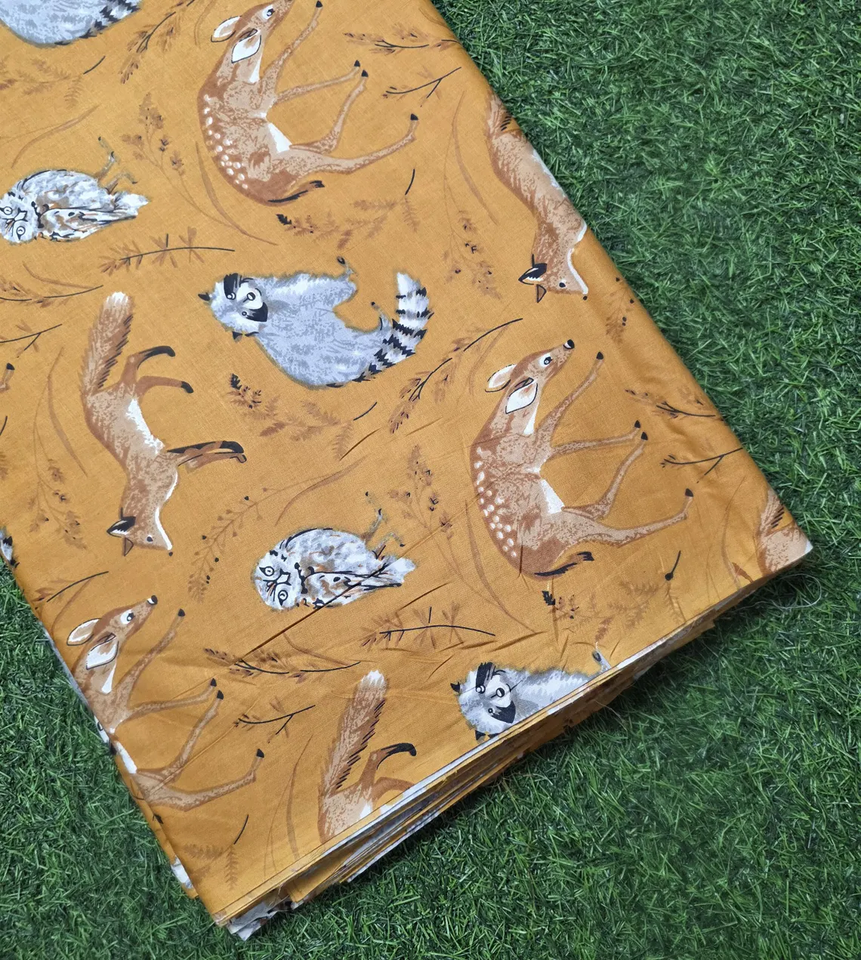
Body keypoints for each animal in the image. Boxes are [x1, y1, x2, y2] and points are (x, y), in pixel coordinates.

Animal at [81, 292, 247, 554]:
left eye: (149, 539)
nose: (169, 549)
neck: (149, 490)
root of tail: (86, 398)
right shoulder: (182, 465)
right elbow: (208, 457)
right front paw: (238, 455)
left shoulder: (173, 458)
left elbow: (213, 445)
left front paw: (237, 448)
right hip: (135, 392)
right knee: (142, 372)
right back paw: (180, 380)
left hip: (129, 389)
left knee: (132, 360)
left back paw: (172, 361)